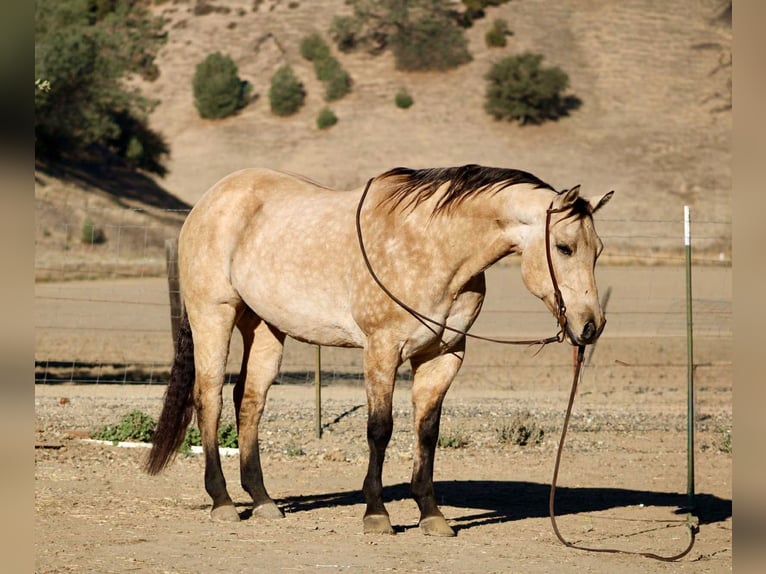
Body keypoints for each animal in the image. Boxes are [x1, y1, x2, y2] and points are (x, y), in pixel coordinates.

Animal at [145, 164, 613, 537]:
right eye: (564, 247)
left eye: (598, 250)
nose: (590, 326)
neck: (433, 246)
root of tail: (208, 201)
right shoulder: (382, 350)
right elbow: (380, 429)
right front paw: (377, 514)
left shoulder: (443, 356)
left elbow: (427, 432)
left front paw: (431, 514)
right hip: (214, 317)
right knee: (210, 399)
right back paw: (222, 501)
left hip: (264, 328)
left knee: (250, 402)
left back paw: (262, 501)